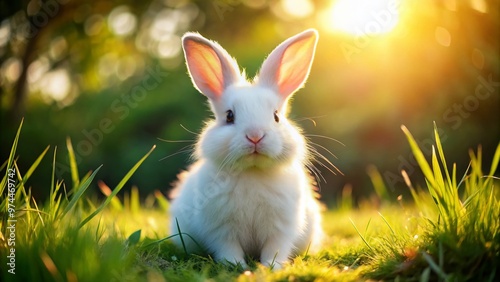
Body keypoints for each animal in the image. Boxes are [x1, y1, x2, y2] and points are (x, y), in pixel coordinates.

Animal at [169, 28, 324, 268]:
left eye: (276, 116)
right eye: (229, 116)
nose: (255, 136)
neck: (252, 171)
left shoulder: (280, 229)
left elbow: (274, 248)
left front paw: (272, 267)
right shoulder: (222, 230)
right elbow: (228, 248)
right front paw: (236, 266)